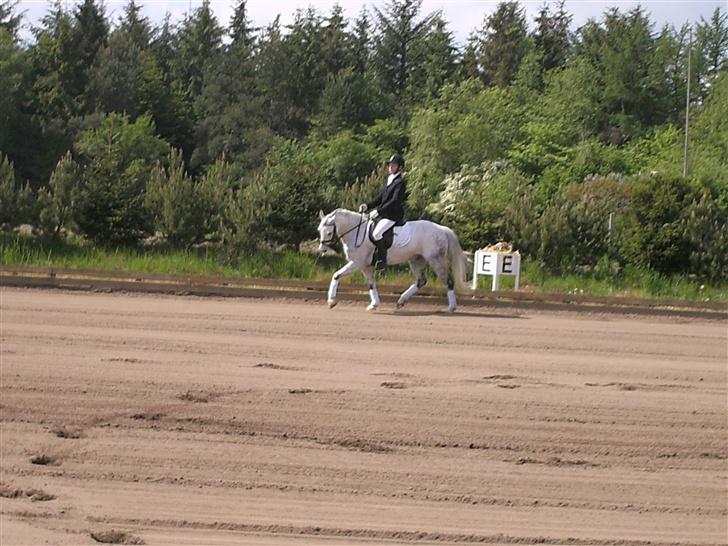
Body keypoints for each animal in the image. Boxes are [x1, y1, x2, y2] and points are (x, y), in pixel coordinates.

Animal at [318, 207, 472, 312]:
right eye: (320, 230)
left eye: (329, 232)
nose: (322, 250)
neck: (357, 231)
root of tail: (442, 229)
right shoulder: (365, 266)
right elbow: (371, 284)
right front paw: (374, 305)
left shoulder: (356, 263)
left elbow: (336, 275)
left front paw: (331, 301)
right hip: (416, 261)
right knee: (421, 281)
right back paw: (401, 301)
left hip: (436, 260)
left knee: (448, 281)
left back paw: (451, 308)